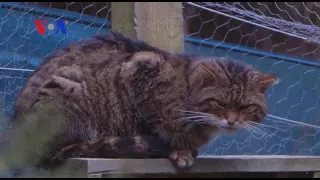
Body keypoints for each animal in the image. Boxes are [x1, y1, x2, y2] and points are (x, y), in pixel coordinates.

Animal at [10, 31, 278, 170]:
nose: (232, 121)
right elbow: (151, 125)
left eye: (246, 107)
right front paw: (177, 150)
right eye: (220, 103)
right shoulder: (139, 68)